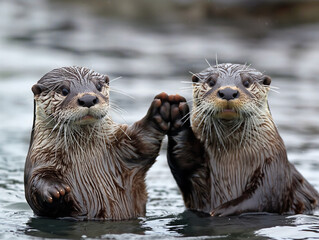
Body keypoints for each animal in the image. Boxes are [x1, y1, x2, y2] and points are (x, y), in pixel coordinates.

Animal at [25, 66, 174, 220]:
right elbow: (33, 186)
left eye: (98, 86)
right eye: (64, 90)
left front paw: (160, 110)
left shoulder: (126, 148)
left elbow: (144, 143)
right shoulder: (40, 158)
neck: (84, 153)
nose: (88, 98)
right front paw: (53, 190)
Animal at [168, 63, 319, 216]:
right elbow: (185, 165)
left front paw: (221, 210)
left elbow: (264, 198)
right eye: (211, 82)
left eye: (247, 82)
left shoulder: (274, 169)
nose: (228, 92)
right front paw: (176, 114)